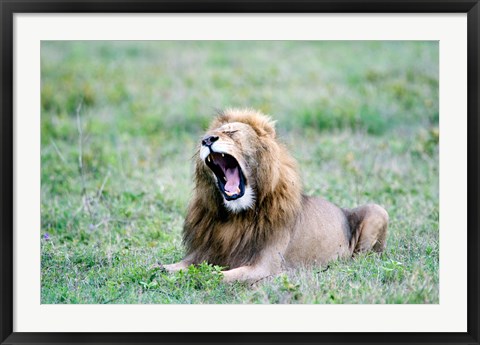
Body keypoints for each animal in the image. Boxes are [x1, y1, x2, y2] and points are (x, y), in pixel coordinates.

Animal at [163, 108, 388, 282]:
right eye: (205, 136)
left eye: (232, 132)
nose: (207, 140)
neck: (234, 217)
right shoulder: (201, 254)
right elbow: (169, 267)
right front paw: (162, 272)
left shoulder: (265, 266)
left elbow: (212, 275)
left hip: (378, 211)